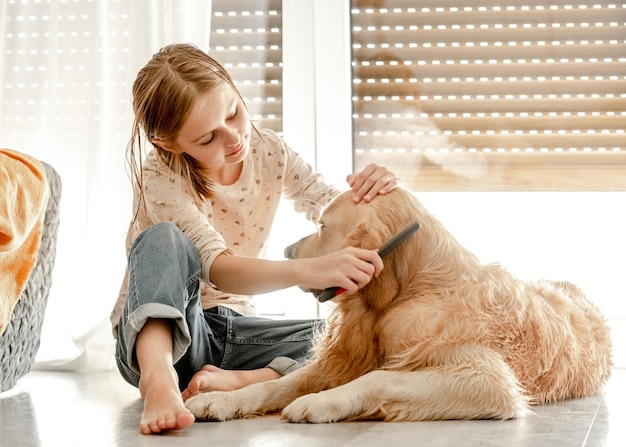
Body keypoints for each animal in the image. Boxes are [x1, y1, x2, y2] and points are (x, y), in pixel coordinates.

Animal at [184, 188, 608, 424]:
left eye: (322, 227)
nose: (287, 252)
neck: (415, 289)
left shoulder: (487, 380)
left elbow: (378, 378)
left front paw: (322, 402)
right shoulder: (337, 360)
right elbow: (277, 385)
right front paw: (221, 400)